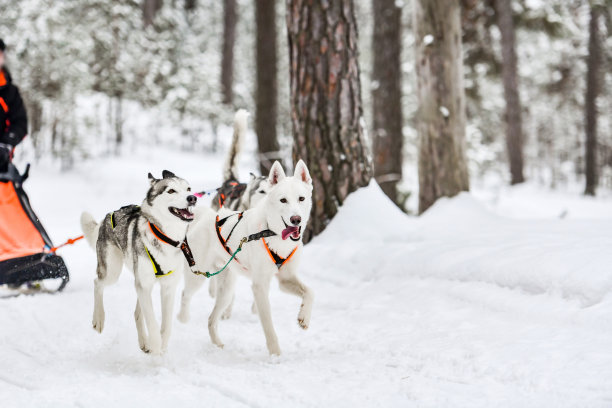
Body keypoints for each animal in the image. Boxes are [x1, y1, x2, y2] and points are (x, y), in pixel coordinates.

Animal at [80, 171, 196, 356]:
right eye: (171, 190)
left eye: (188, 189)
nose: (192, 198)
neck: (165, 237)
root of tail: (107, 216)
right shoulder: (145, 285)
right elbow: (153, 324)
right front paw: (156, 346)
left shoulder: (168, 287)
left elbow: (166, 325)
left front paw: (161, 346)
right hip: (113, 272)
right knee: (97, 283)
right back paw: (99, 318)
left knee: (137, 313)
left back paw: (143, 342)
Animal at [176, 161, 310, 356]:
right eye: (283, 200)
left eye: (301, 198)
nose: (296, 219)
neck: (271, 232)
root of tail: (209, 216)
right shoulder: (260, 286)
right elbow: (268, 325)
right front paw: (275, 354)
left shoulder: (285, 279)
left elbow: (310, 292)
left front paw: (304, 317)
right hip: (197, 276)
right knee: (185, 294)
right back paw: (183, 318)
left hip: (226, 289)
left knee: (211, 319)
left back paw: (218, 344)